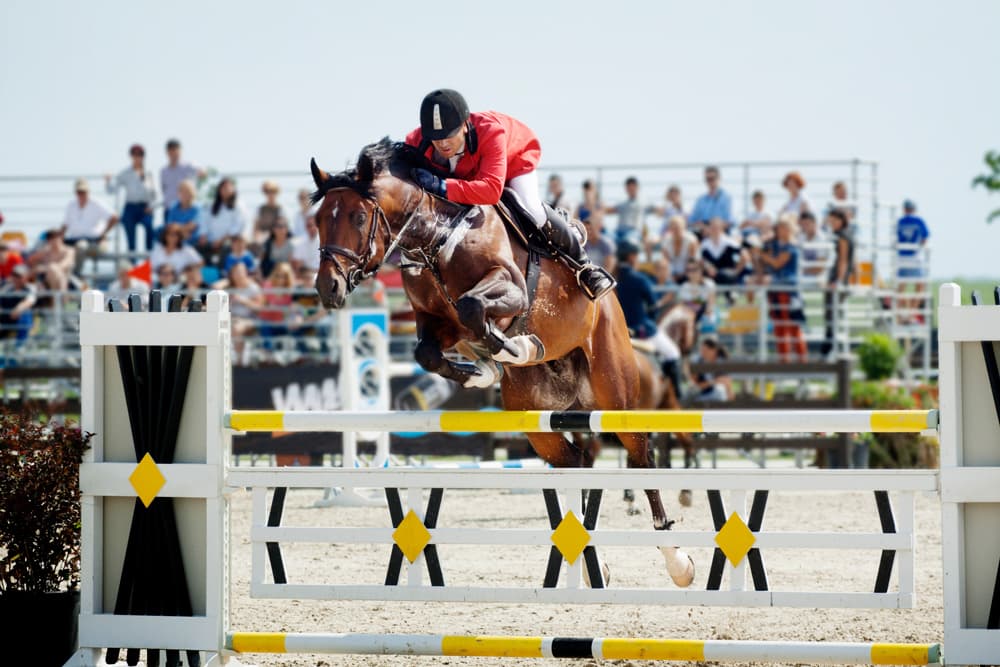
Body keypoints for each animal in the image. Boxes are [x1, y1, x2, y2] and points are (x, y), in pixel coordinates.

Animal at [309, 138, 694, 588]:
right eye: (319, 219)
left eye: (357, 216)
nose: (328, 288)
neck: (435, 238)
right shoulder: (435, 321)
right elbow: (429, 350)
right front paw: (480, 370)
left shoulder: (510, 290)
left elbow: (475, 307)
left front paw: (515, 349)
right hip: (536, 418)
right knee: (576, 460)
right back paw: (589, 561)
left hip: (614, 393)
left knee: (641, 457)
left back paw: (677, 561)